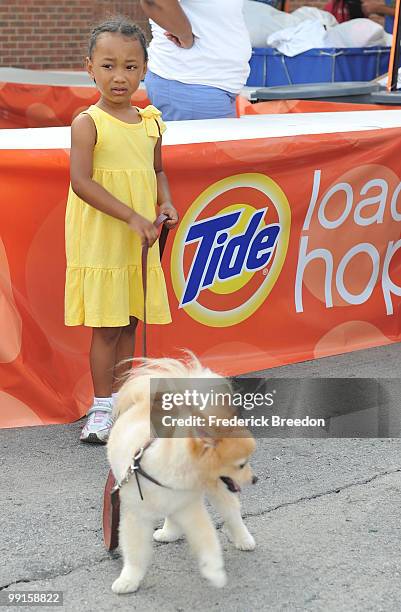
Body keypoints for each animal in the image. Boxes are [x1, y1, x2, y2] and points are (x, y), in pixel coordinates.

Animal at [106, 354, 256, 592]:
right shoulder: (137, 516)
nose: (254, 479)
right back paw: (169, 532)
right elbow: (135, 553)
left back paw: (243, 539)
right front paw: (128, 580)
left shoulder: (190, 508)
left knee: (231, 511)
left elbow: (207, 539)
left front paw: (214, 572)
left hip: (217, 489)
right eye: (241, 465)